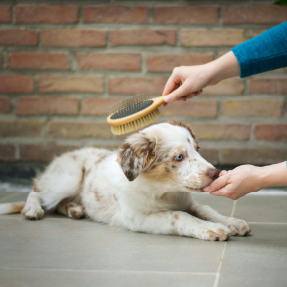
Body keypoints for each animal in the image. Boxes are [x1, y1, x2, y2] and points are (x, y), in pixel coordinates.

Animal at [0, 120, 252, 242]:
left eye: (197, 149)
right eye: (178, 157)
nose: (216, 173)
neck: (163, 192)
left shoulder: (188, 202)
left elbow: (206, 209)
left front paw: (231, 222)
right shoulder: (136, 217)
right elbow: (178, 216)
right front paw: (211, 229)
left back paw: (75, 209)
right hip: (67, 179)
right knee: (36, 191)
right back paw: (33, 210)